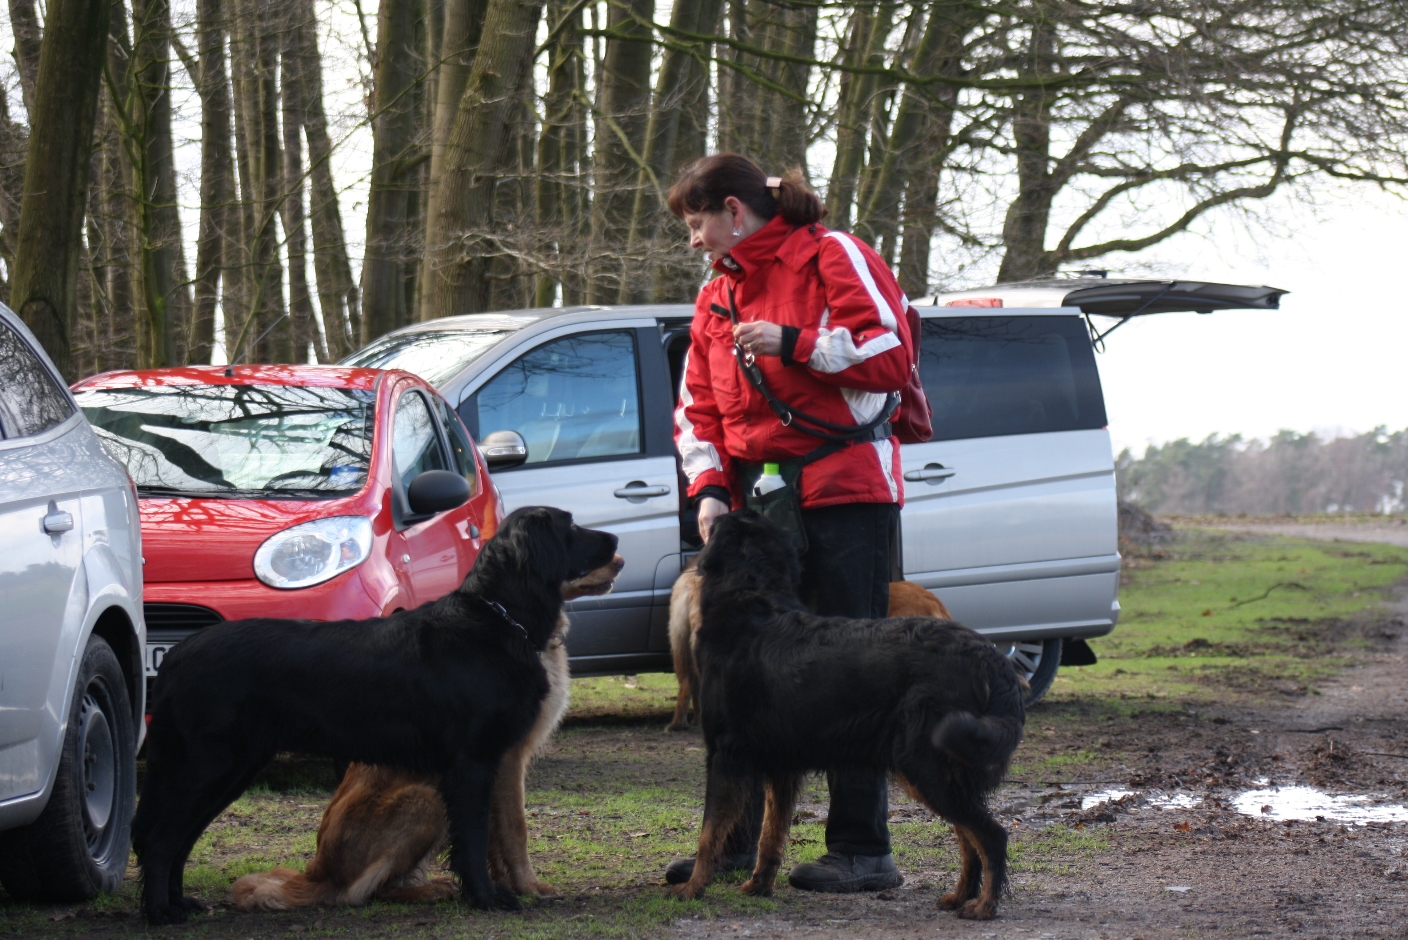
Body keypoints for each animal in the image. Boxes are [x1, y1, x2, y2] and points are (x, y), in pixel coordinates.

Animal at [230, 561, 618, 911]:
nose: (619, 561)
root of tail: (316, 874)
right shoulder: (505, 760)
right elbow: (514, 829)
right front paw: (528, 887)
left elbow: (488, 838)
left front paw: (500, 887)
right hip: (426, 798)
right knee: (361, 893)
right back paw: (427, 891)